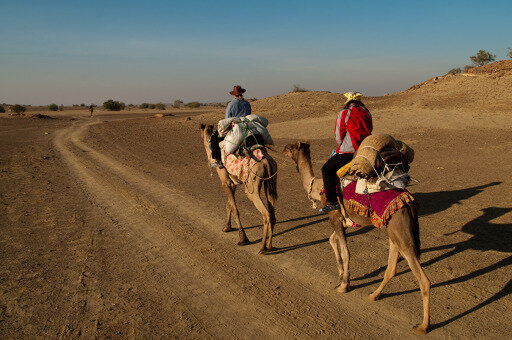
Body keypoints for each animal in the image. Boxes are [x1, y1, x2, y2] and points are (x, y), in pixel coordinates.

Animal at [200, 123, 278, 254]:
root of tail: (266, 161)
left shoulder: (225, 180)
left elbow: (235, 208)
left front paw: (243, 238)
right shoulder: (233, 182)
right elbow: (229, 205)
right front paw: (227, 227)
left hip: (252, 185)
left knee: (266, 213)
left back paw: (262, 247)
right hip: (271, 180)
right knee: (272, 212)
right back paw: (269, 246)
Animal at [282, 141, 430, 334]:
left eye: (291, 147)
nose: (283, 149)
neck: (317, 188)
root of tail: (409, 202)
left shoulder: (334, 216)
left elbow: (346, 252)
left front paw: (344, 285)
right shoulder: (344, 221)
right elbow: (332, 240)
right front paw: (340, 276)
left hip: (401, 231)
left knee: (423, 279)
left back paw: (423, 326)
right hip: (393, 230)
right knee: (392, 268)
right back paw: (374, 295)